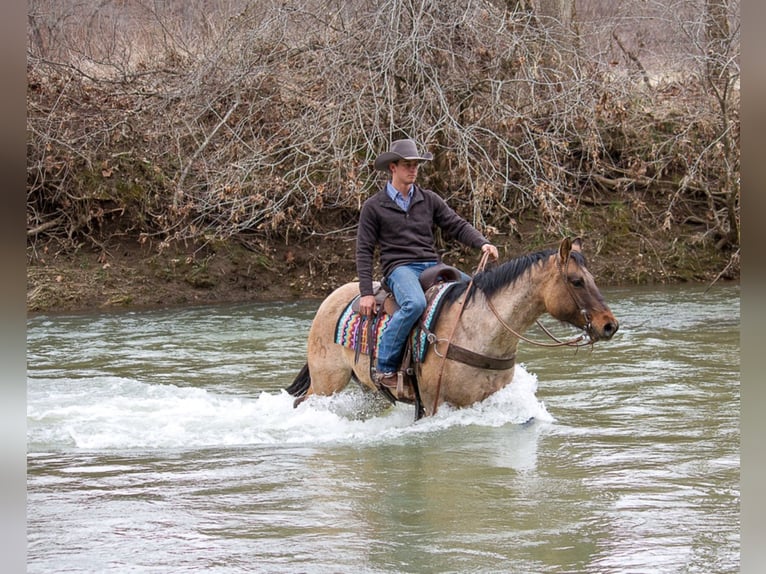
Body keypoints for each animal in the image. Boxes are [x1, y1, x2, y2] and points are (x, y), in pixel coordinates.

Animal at [284, 236, 620, 420]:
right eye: (576, 281)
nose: (609, 325)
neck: (480, 329)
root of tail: (330, 299)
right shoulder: (436, 404)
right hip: (328, 381)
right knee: (302, 403)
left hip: (368, 389)